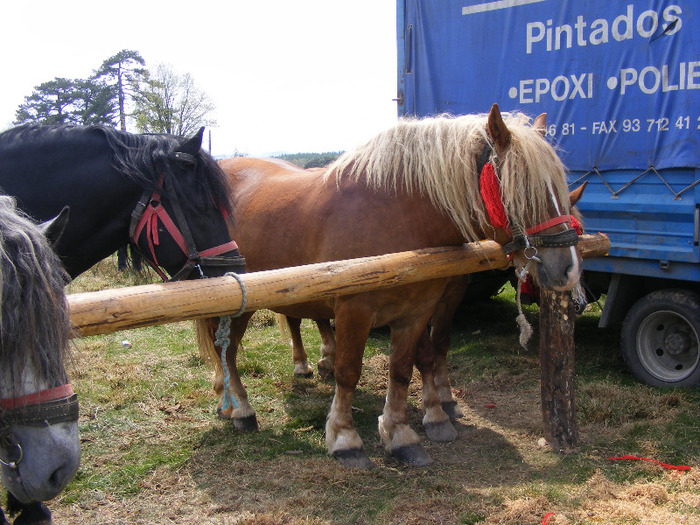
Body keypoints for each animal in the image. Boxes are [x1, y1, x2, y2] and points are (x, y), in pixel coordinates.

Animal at [197, 105, 580, 466]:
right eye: (523, 189)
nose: (569, 269)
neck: (397, 217)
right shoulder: (354, 311)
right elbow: (348, 372)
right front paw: (345, 439)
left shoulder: (416, 314)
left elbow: (403, 369)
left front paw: (401, 434)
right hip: (236, 303)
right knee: (227, 352)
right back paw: (241, 409)